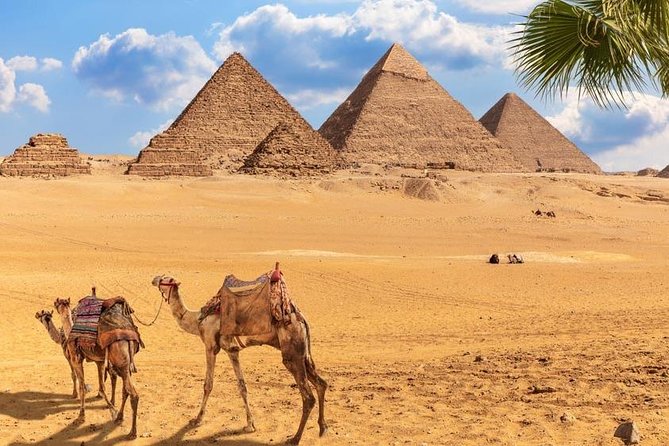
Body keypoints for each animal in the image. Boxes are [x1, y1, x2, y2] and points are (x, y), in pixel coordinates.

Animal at [53, 296, 140, 439]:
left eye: (57, 303)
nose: (54, 304)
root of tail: (128, 338)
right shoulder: (99, 362)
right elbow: (102, 385)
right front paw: (111, 408)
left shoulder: (76, 359)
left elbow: (82, 387)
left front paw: (81, 415)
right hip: (126, 365)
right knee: (126, 390)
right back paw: (120, 417)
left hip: (120, 361)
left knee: (133, 394)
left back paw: (132, 432)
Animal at [152, 274, 328, 445]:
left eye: (166, 279)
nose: (154, 279)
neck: (197, 321)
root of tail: (301, 318)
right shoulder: (232, 350)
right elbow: (242, 386)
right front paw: (250, 424)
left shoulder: (210, 346)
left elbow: (208, 385)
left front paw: (197, 419)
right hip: (303, 354)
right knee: (321, 384)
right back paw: (322, 428)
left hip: (292, 353)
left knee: (308, 397)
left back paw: (295, 438)